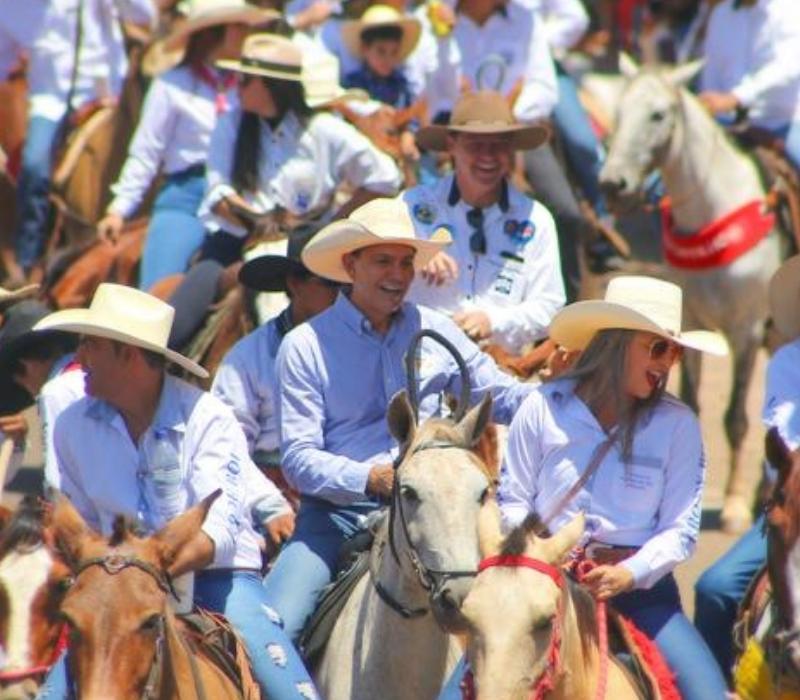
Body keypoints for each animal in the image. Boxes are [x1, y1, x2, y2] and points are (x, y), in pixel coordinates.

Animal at [598, 57, 785, 534]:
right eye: (618, 112)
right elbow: (694, 409)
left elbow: (735, 418)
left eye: (658, 114)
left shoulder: (745, 331)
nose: (613, 185)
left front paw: (734, 507)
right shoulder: (695, 326)